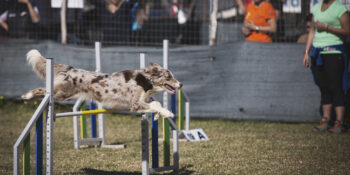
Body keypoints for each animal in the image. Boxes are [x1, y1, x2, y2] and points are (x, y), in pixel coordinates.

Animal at [21, 50, 182, 119]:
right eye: (169, 77)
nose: (180, 85)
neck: (145, 81)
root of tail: (70, 69)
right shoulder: (134, 104)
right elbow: (156, 104)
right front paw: (168, 113)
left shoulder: (140, 104)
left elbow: (155, 105)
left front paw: (159, 115)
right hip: (61, 94)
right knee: (42, 90)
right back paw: (26, 95)